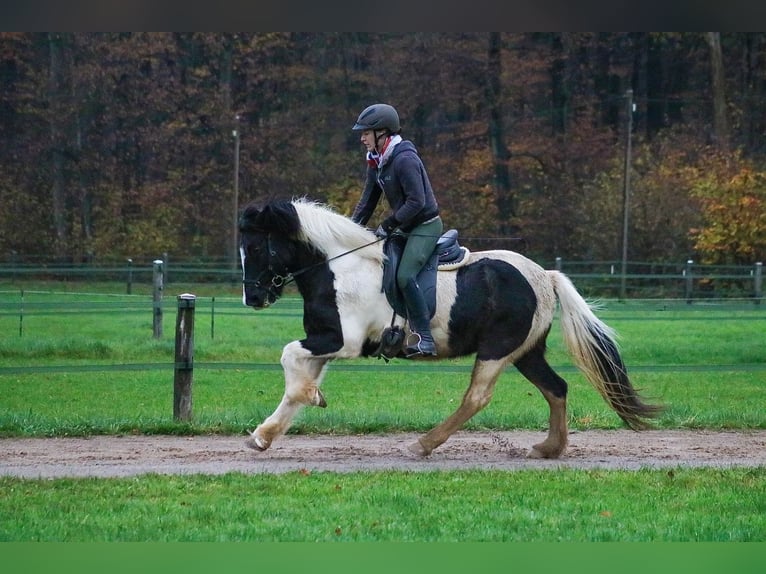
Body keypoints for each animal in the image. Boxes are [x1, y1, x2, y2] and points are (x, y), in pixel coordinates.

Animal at [238, 198, 660, 459]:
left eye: (256, 248)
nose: (253, 298)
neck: (341, 268)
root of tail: (544, 275)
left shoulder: (342, 341)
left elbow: (289, 359)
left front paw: (310, 397)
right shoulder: (324, 342)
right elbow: (292, 382)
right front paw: (265, 434)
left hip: (497, 349)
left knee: (477, 398)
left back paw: (424, 444)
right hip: (526, 352)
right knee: (556, 388)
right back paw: (549, 448)